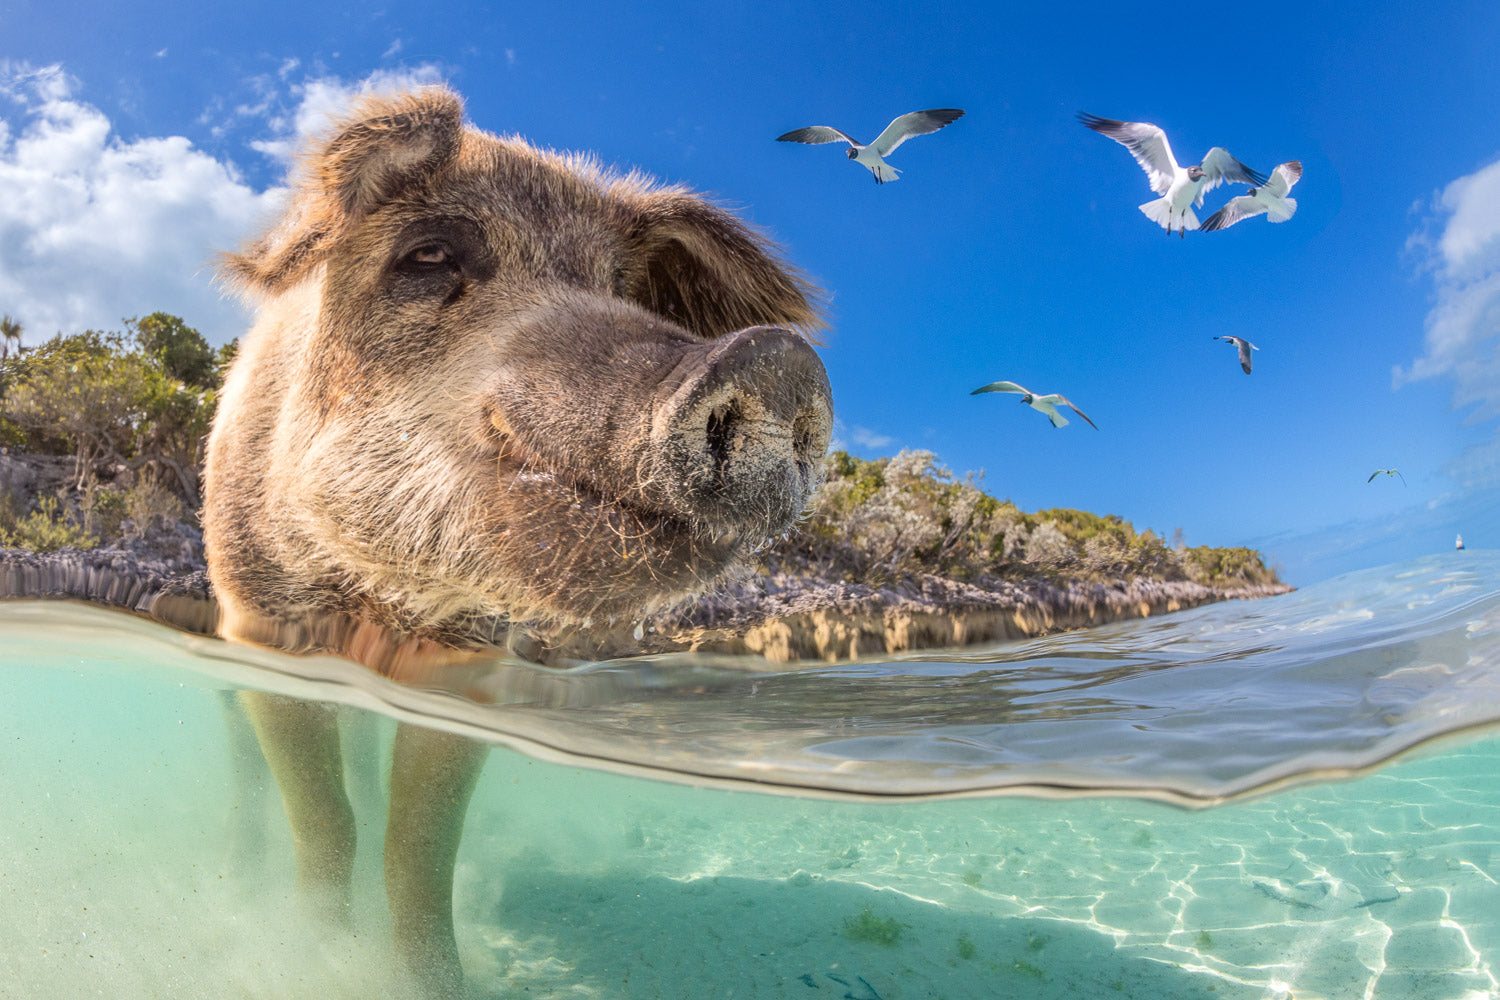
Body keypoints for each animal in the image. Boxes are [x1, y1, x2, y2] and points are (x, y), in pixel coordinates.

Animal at [203, 86, 833, 992]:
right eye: (428, 255)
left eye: (618, 287)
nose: (774, 360)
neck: (380, 597)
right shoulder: (265, 619)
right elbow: (325, 821)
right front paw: (317, 953)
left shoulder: (468, 661)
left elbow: (416, 848)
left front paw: (434, 982)